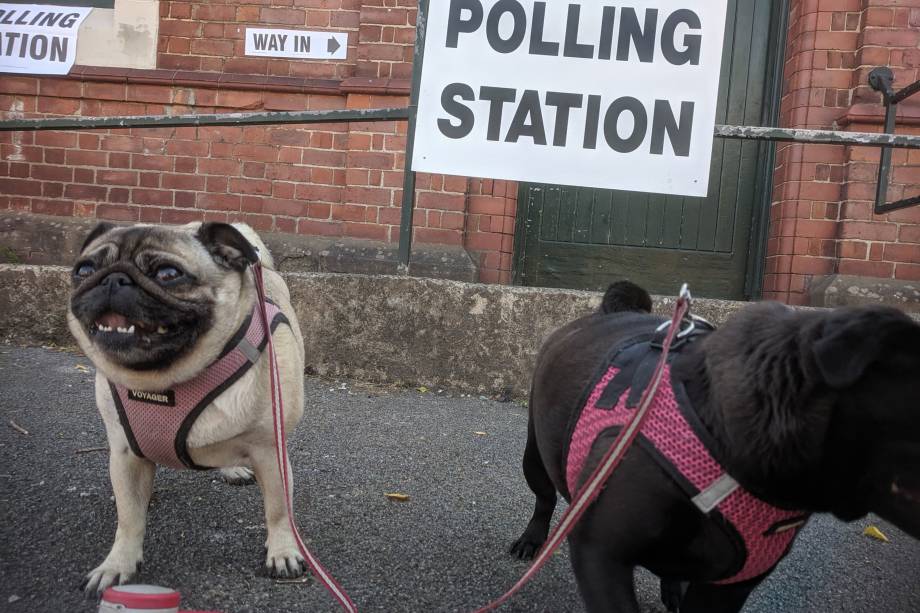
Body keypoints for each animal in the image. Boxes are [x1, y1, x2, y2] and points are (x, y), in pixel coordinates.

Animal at [66, 221, 310, 592]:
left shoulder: (270, 452)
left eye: (168, 274)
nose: (112, 279)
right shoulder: (125, 454)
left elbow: (279, 509)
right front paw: (117, 564)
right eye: (84, 270)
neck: (165, 379)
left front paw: (283, 551)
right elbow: (129, 519)